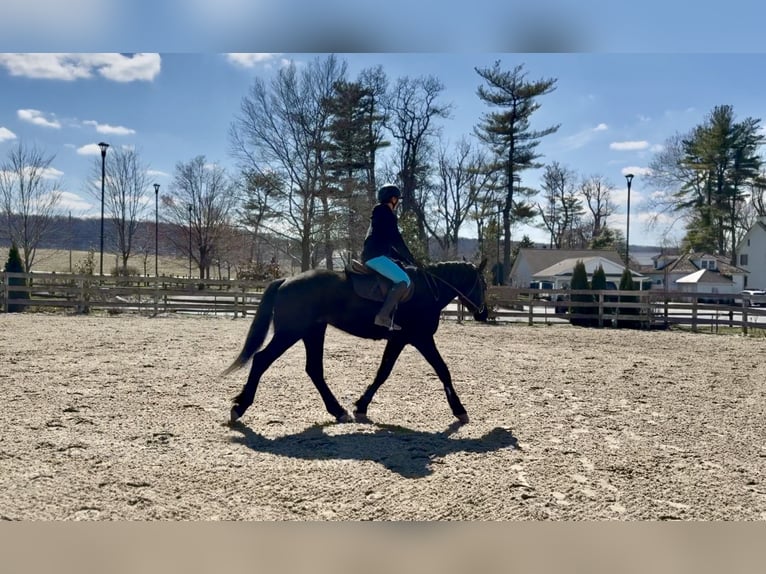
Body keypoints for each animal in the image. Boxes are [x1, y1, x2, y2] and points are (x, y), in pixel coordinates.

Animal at [224, 259, 488, 425]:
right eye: (483, 284)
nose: (483, 314)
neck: (427, 290)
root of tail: (286, 280)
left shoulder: (399, 340)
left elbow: (383, 372)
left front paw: (361, 406)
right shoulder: (420, 339)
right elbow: (442, 370)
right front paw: (460, 411)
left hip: (312, 331)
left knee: (314, 370)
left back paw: (338, 411)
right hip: (290, 332)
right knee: (261, 360)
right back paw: (239, 407)